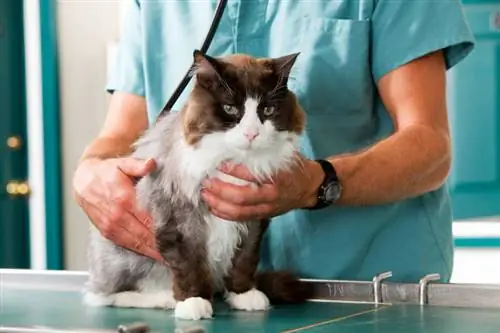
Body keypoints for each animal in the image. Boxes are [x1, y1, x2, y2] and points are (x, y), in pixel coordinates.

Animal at [84, 49, 312, 320]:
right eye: (229, 109)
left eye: (267, 110)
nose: (251, 134)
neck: (233, 160)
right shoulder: (179, 217)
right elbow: (189, 264)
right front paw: (193, 302)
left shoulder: (253, 218)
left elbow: (244, 259)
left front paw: (243, 294)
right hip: (124, 260)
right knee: (106, 295)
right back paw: (164, 299)